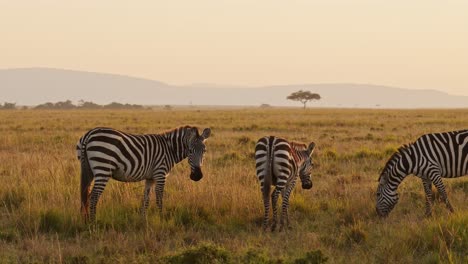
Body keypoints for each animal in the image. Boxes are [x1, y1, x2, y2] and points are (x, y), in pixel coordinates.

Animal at [76, 125, 211, 221]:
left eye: (204, 151)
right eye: (190, 151)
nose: (197, 176)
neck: (169, 149)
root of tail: (89, 134)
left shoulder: (150, 178)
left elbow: (146, 198)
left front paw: (142, 220)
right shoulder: (160, 173)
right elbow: (159, 197)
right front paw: (161, 218)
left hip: (88, 170)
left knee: (85, 196)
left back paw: (85, 221)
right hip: (103, 168)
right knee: (93, 196)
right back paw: (93, 223)